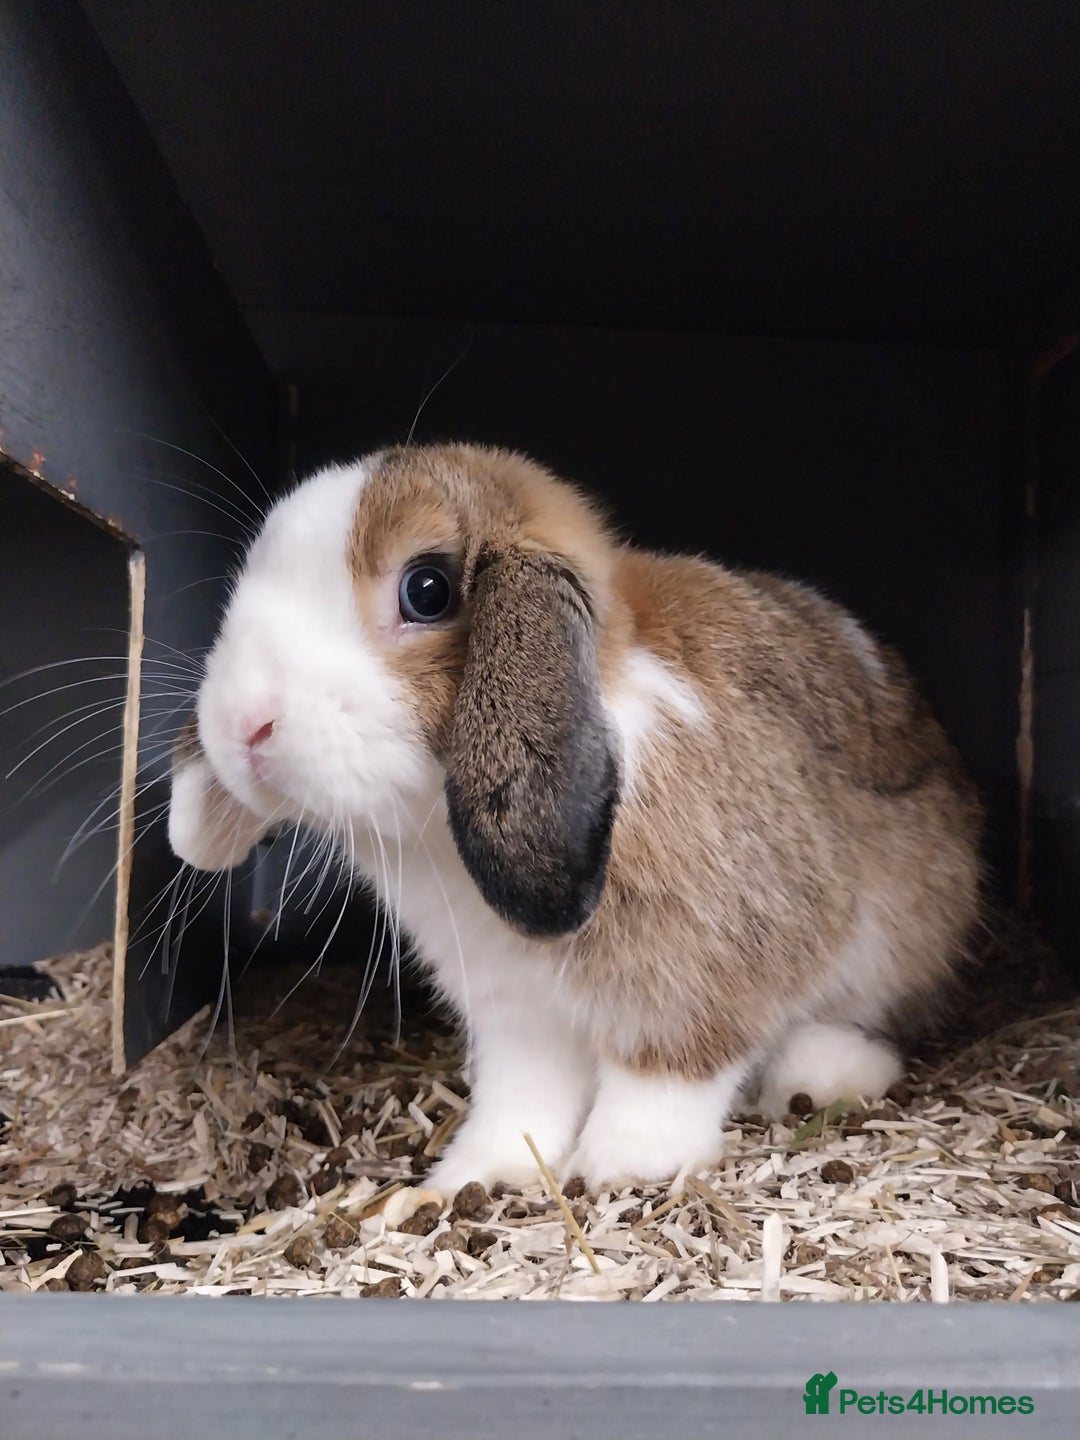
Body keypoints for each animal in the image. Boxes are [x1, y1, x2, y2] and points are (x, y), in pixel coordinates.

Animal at [168, 442, 982, 1192]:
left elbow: (669, 1070)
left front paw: (626, 1164)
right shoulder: (513, 1011)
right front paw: (483, 1171)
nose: (244, 723)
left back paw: (823, 1075)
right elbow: (523, 1095)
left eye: (426, 590)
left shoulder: (701, 971)